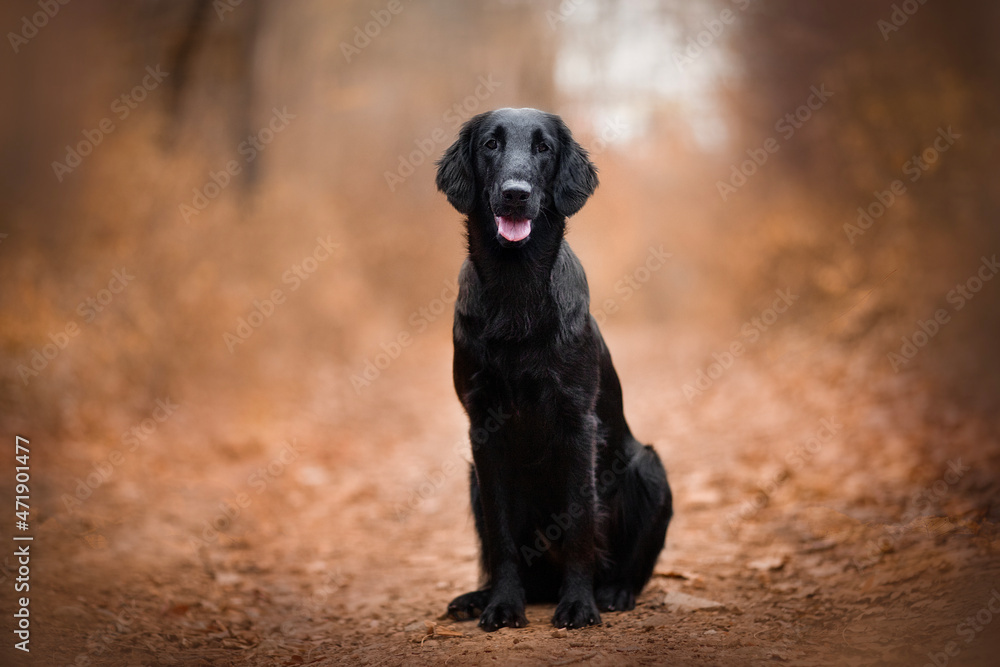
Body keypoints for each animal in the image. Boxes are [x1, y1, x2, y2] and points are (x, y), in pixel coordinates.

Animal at [438, 107, 672, 628]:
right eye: (490, 144)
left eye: (543, 148)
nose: (515, 193)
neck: (516, 291)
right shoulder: (482, 427)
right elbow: (501, 536)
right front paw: (503, 604)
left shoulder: (576, 420)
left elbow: (580, 522)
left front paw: (579, 603)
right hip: (470, 479)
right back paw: (478, 596)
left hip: (649, 468)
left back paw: (614, 592)